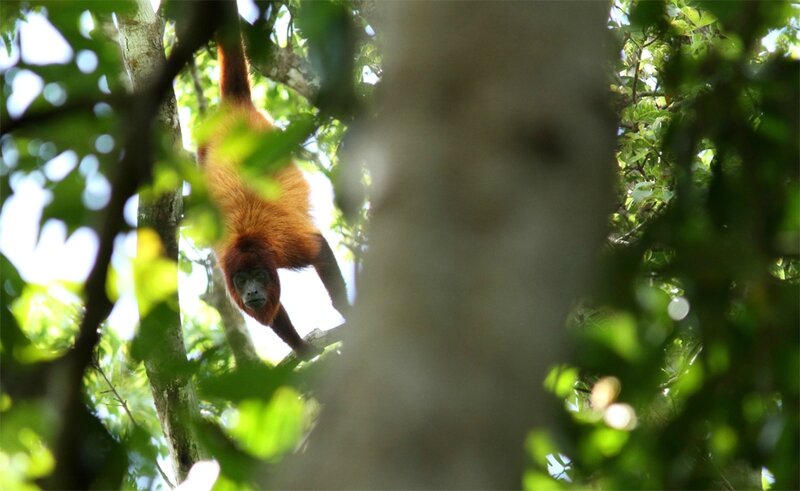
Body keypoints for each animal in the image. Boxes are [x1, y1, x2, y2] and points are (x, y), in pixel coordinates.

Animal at [199, 7, 346, 360]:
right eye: (241, 281)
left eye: (257, 276)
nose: (252, 291)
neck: (248, 240)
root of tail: (235, 107)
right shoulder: (227, 263)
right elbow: (274, 314)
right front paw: (300, 346)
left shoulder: (286, 245)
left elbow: (319, 249)